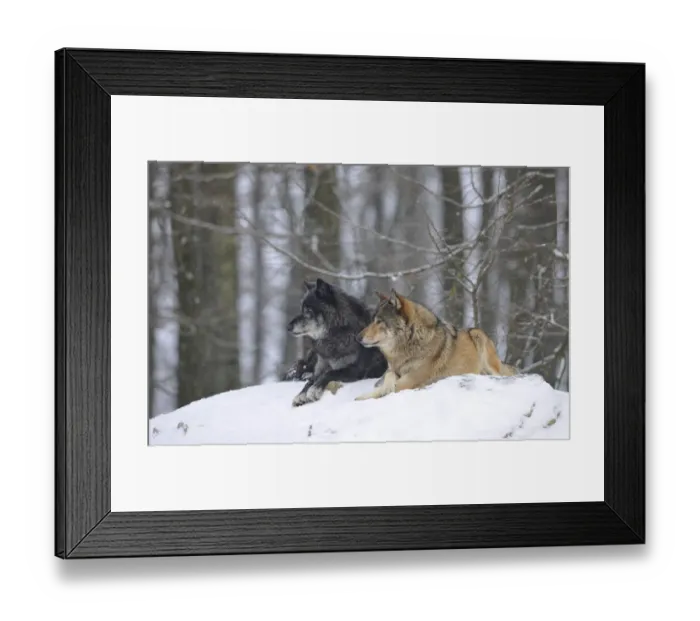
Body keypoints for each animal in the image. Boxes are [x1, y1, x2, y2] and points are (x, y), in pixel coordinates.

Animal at [286, 278, 388, 407]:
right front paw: (301, 394)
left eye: (308, 311)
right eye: (301, 309)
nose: (288, 327)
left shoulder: (356, 370)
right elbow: (311, 380)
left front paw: (314, 391)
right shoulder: (320, 368)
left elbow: (330, 373)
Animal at [355, 289, 517, 401]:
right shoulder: (393, 370)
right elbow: (389, 377)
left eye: (379, 321)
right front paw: (373, 392)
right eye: (372, 320)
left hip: (478, 335)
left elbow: (392, 387)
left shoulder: (409, 381)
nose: (357, 337)